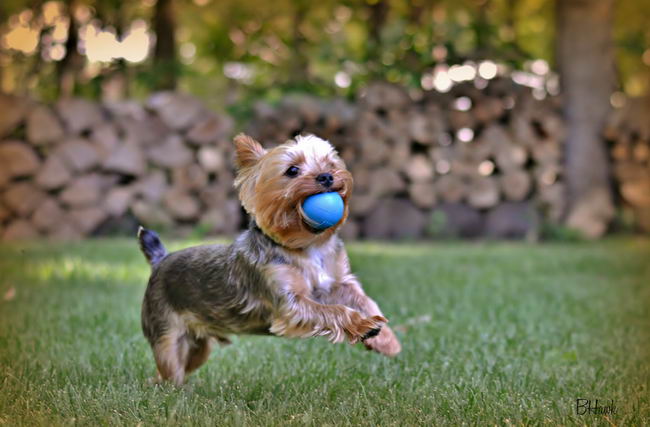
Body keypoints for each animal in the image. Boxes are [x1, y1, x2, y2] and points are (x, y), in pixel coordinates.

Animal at [137, 135, 400, 388]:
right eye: (292, 170)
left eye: (331, 164)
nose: (326, 176)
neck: (307, 245)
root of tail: (160, 259)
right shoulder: (289, 303)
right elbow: (333, 311)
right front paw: (363, 326)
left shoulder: (338, 283)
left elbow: (365, 301)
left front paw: (386, 339)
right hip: (166, 332)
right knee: (170, 366)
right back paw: (174, 389)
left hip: (199, 345)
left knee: (182, 365)